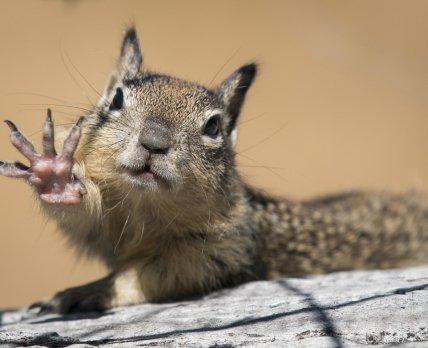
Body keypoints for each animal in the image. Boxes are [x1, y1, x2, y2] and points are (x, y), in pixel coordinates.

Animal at [0, 28, 428, 314]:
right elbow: (84, 215)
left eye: (213, 125)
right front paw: (55, 175)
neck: (144, 208)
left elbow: (155, 274)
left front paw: (88, 291)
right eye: (117, 99)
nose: (154, 141)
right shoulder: (106, 229)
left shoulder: (223, 250)